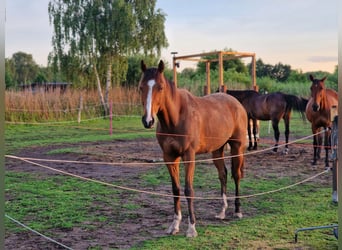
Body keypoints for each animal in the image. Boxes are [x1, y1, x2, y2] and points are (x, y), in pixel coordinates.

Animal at [139, 60, 248, 236]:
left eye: (160, 87)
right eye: (141, 87)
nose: (148, 120)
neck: (176, 118)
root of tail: (236, 103)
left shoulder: (189, 156)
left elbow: (188, 190)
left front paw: (191, 228)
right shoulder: (169, 157)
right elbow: (175, 189)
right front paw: (174, 225)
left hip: (237, 148)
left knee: (236, 175)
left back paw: (237, 211)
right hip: (217, 150)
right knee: (223, 175)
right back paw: (222, 211)